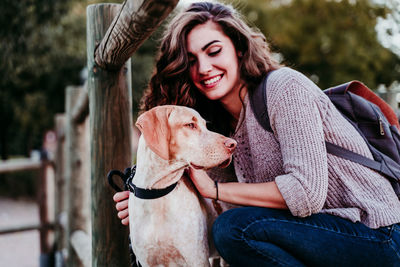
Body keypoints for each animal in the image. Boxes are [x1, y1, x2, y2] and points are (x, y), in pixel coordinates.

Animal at [128, 106, 236, 267]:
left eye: (206, 125)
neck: (159, 192)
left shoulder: (197, 259)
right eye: (190, 125)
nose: (233, 144)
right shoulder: (147, 261)